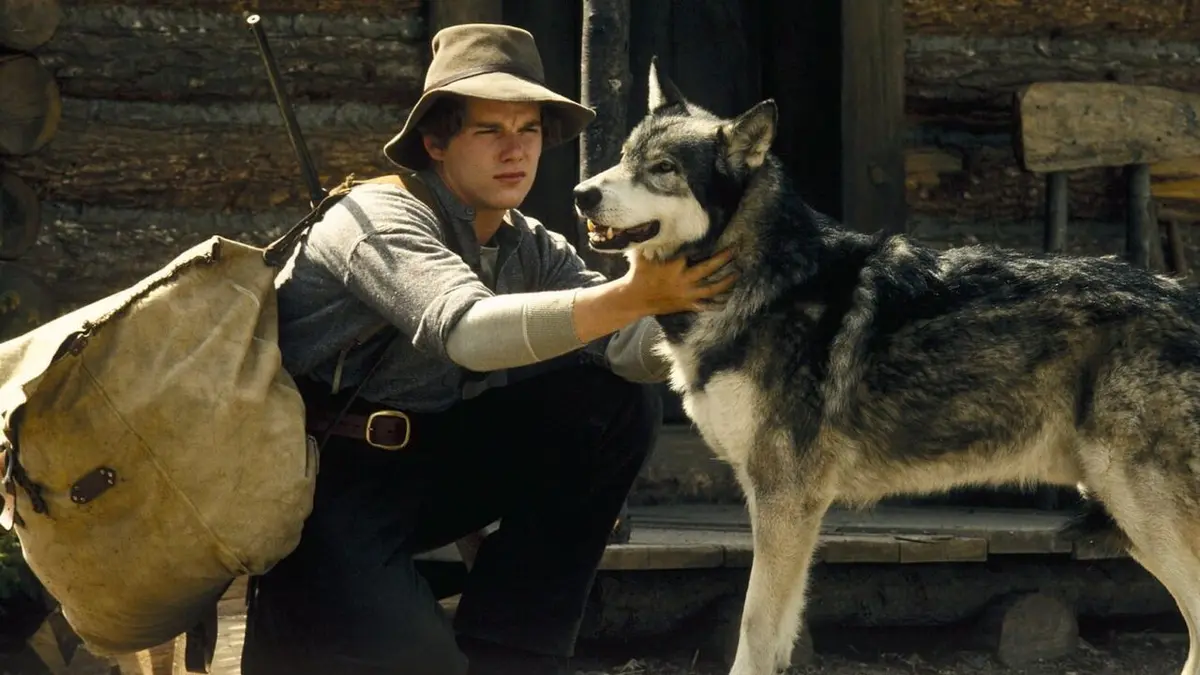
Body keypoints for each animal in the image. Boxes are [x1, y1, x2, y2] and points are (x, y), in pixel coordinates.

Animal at [573, 57, 1200, 675]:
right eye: (623, 157)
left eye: (662, 169)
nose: (581, 194)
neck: (766, 279)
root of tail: (1185, 296)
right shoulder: (787, 505)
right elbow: (778, 636)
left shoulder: (785, 497)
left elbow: (753, 631)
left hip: (1137, 508)